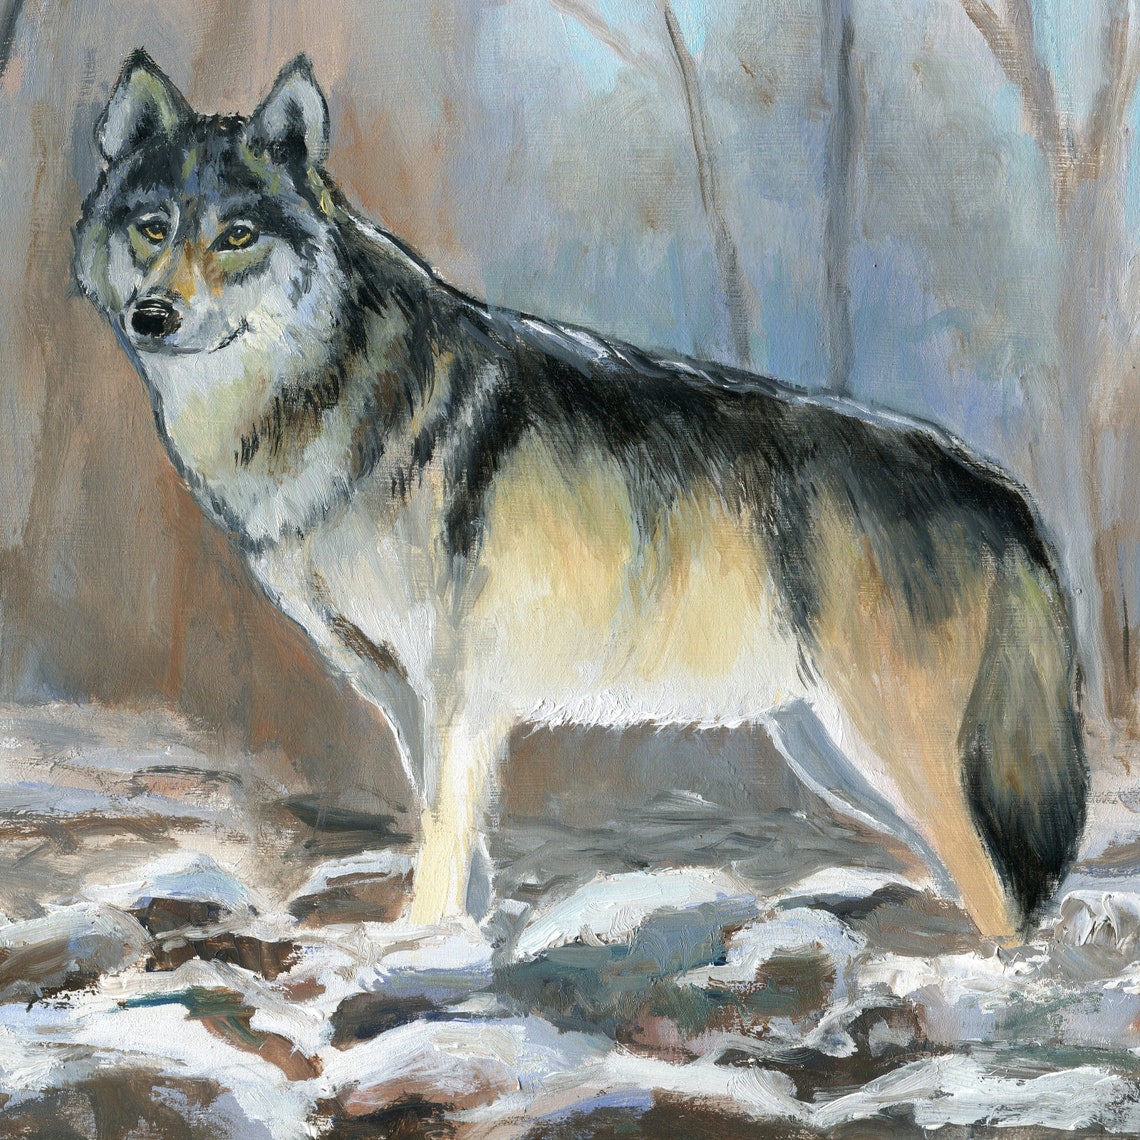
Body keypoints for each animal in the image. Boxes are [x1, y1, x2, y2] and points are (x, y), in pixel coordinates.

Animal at [74, 51, 1088, 942]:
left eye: (237, 236)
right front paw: (460, 944)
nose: (153, 316)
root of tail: (1006, 496)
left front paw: (412, 947)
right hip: (830, 752)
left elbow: (440, 841)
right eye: (153, 227)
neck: (327, 402)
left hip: (884, 747)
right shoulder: (406, 698)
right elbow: (462, 846)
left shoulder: (459, 692)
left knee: (1006, 896)